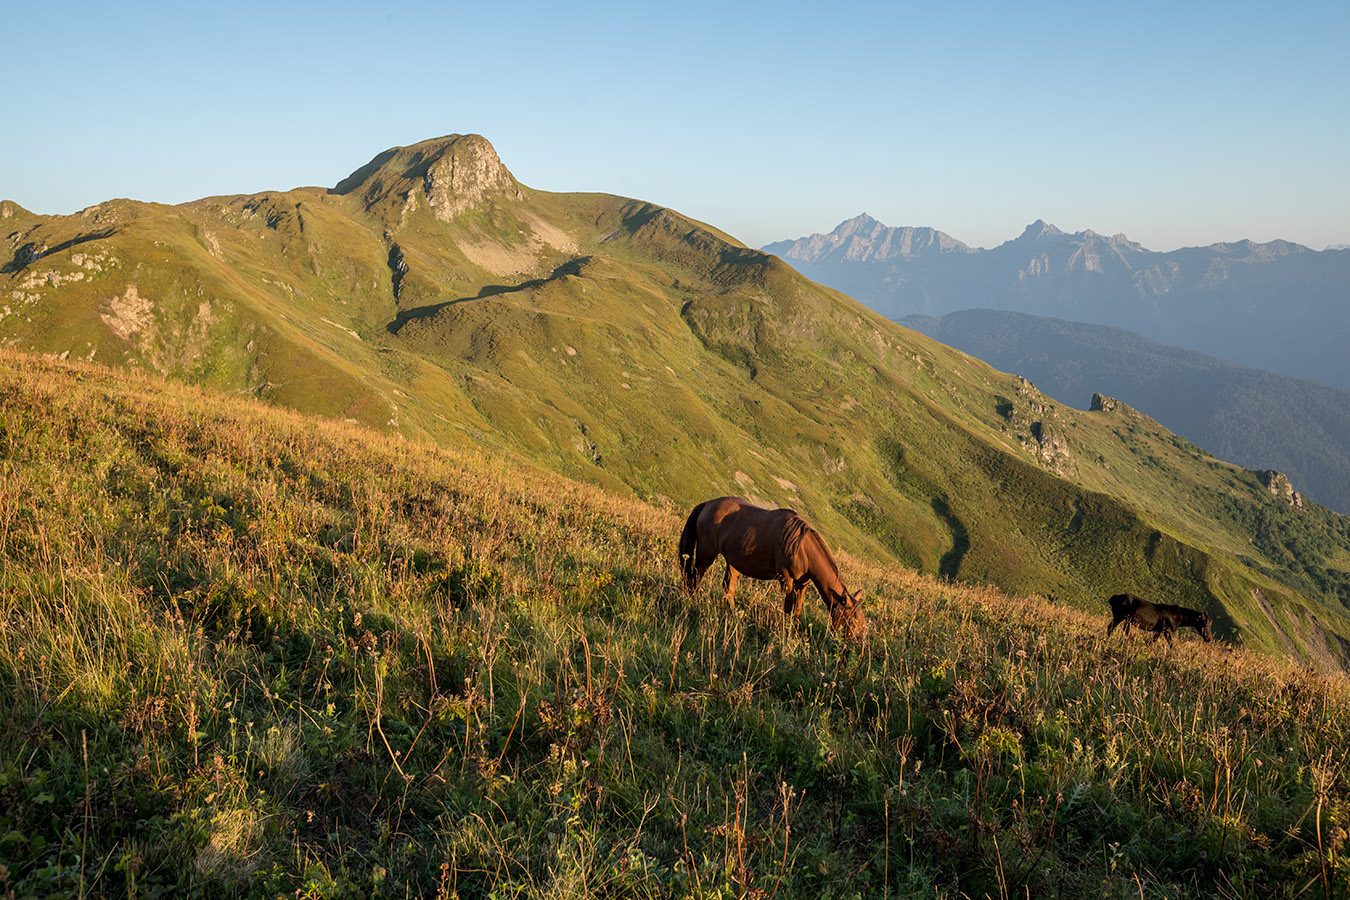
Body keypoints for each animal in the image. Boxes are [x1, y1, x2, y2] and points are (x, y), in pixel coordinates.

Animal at [675, 499, 864, 639]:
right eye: (850, 621)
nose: (852, 647)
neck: (802, 548)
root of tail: (708, 504)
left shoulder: (802, 584)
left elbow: (797, 609)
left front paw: (794, 632)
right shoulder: (786, 579)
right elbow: (788, 607)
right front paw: (785, 632)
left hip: (733, 562)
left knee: (728, 587)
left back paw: (733, 613)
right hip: (706, 554)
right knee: (695, 577)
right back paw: (692, 602)